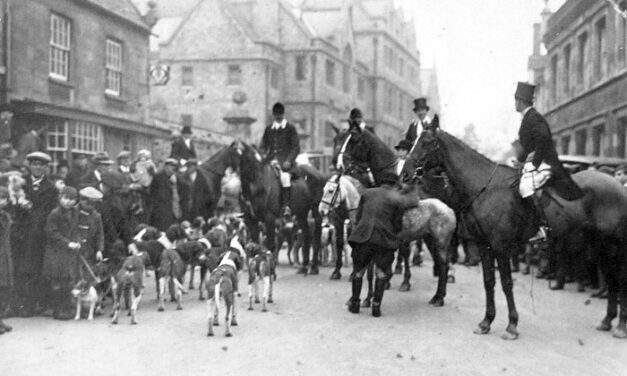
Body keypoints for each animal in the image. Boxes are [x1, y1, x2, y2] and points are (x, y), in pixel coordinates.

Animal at [234, 141, 326, 274]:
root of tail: (318, 173)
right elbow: (254, 244)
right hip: (301, 213)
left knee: (317, 232)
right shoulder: (250, 220)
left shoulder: (270, 219)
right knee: (307, 234)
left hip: (314, 208)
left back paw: (314, 266)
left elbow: (271, 245)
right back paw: (304, 266)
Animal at [412, 128, 627, 340]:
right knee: (611, 278)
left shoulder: (501, 246)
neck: (486, 189)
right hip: (600, 245)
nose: (407, 173)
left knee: (620, 278)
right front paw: (486, 322)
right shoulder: (484, 245)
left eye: (425, 142)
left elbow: (506, 283)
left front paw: (512, 325)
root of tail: (618, 187)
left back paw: (621, 326)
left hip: (613, 244)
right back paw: (607, 320)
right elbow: (489, 281)